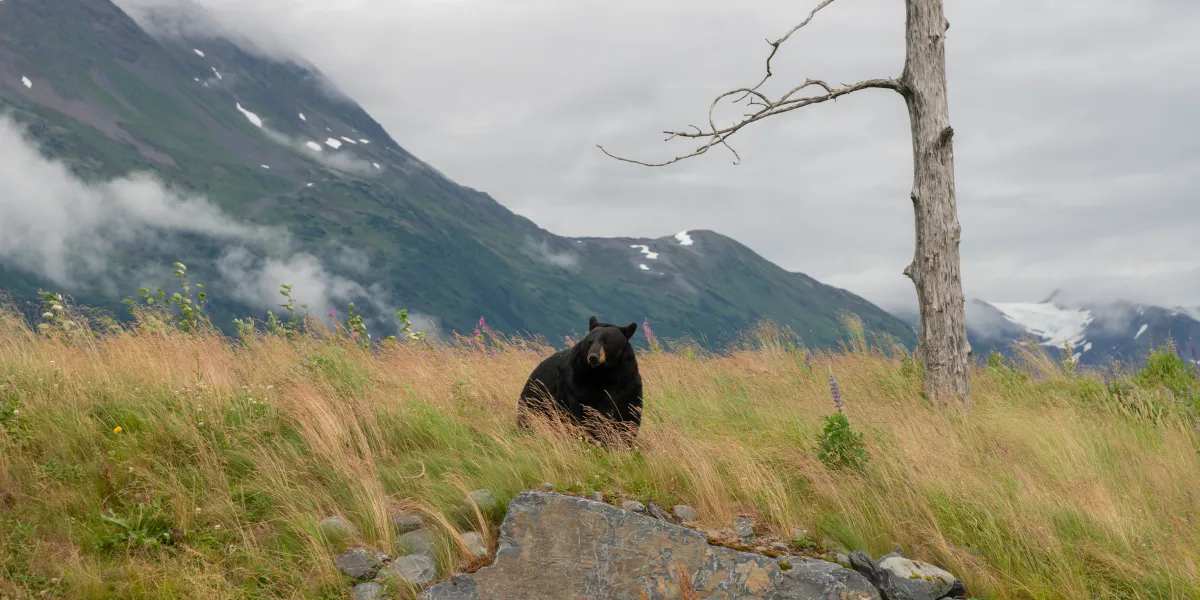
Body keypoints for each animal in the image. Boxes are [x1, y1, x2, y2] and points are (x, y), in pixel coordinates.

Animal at [517, 316, 643, 448]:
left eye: (606, 341)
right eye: (590, 341)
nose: (593, 357)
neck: (605, 373)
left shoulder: (628, 383)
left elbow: (629, 414)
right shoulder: (578, 383)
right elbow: (583, 412)